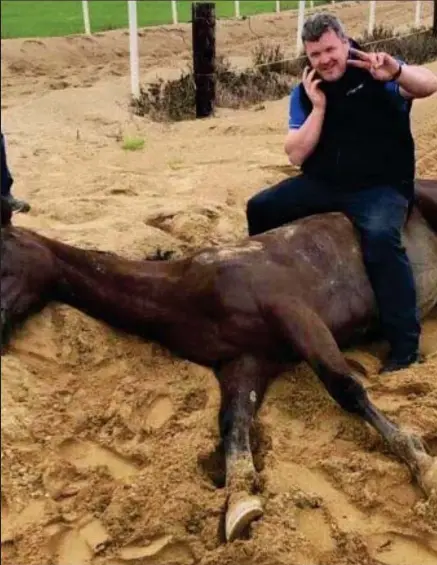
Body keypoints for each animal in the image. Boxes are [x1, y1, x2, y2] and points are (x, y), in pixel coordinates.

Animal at [0, 182, 436, 540]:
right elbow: (233, 424)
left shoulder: (295, 312)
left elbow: (346, 388)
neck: (187, 292)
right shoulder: (244, 361)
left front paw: (422, 465)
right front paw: (241, 502)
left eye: (4, 260)